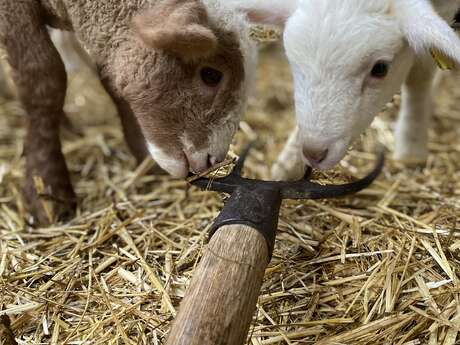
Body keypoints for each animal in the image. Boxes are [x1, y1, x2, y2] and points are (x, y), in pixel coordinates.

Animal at [228, 0, 460, 177]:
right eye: (291, 60)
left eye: (380, 69)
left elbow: (420, 74)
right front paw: (288, 165)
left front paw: (412, 146)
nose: (314, 154)